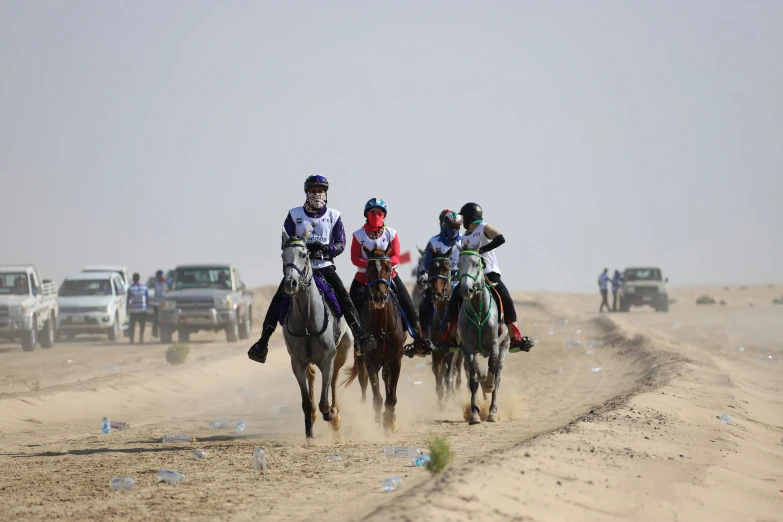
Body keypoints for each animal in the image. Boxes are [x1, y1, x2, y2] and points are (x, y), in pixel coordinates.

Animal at [280, 232, 354, 438]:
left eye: (304, 254)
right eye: (283, 256)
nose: (290, 283)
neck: (307, 319)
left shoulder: (328, 358)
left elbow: (324, 401)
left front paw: (331, 414)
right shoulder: (297, 361)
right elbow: (307, 402)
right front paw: (309, 432)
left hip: (343, 351)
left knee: (335, 377)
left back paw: (335, 415)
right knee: (312, 377)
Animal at [342, 244, 404, 430]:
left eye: (388, 267)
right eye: (369, 268)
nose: (379, 297)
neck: (382, 325)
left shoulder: (395, 359)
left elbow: (391, 394)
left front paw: (389, 420)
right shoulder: (370, 359)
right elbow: (376, 395)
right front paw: (379, 420)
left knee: (385, 378)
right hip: (360, 356)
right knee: (363, 381)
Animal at [454, 247, 508, 422]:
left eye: (476, 264)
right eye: (458, 264)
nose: (466, 290)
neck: (478, 312)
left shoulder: (494, 344)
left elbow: (493, 365)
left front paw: (488, 385)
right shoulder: (468, 347)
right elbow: (473, 380)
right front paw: (475, 414)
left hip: (505, 346)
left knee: (498, 376)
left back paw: (492, 411)